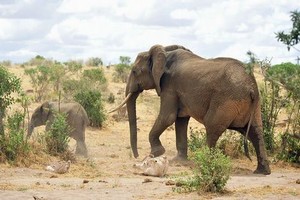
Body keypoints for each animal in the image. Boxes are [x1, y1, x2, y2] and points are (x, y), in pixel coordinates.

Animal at [113, 44, 272, 174]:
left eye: (134, 71)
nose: (137, 156)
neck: (164, 52)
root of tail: (251, 87)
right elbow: (180, 120)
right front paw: (179, 161)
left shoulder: (169, 86)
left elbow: (168, 117)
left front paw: (157, 153)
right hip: (253, 105)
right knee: (255, 131)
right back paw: (262, 172)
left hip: (226, 100)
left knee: (212, 126)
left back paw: (205, 165)